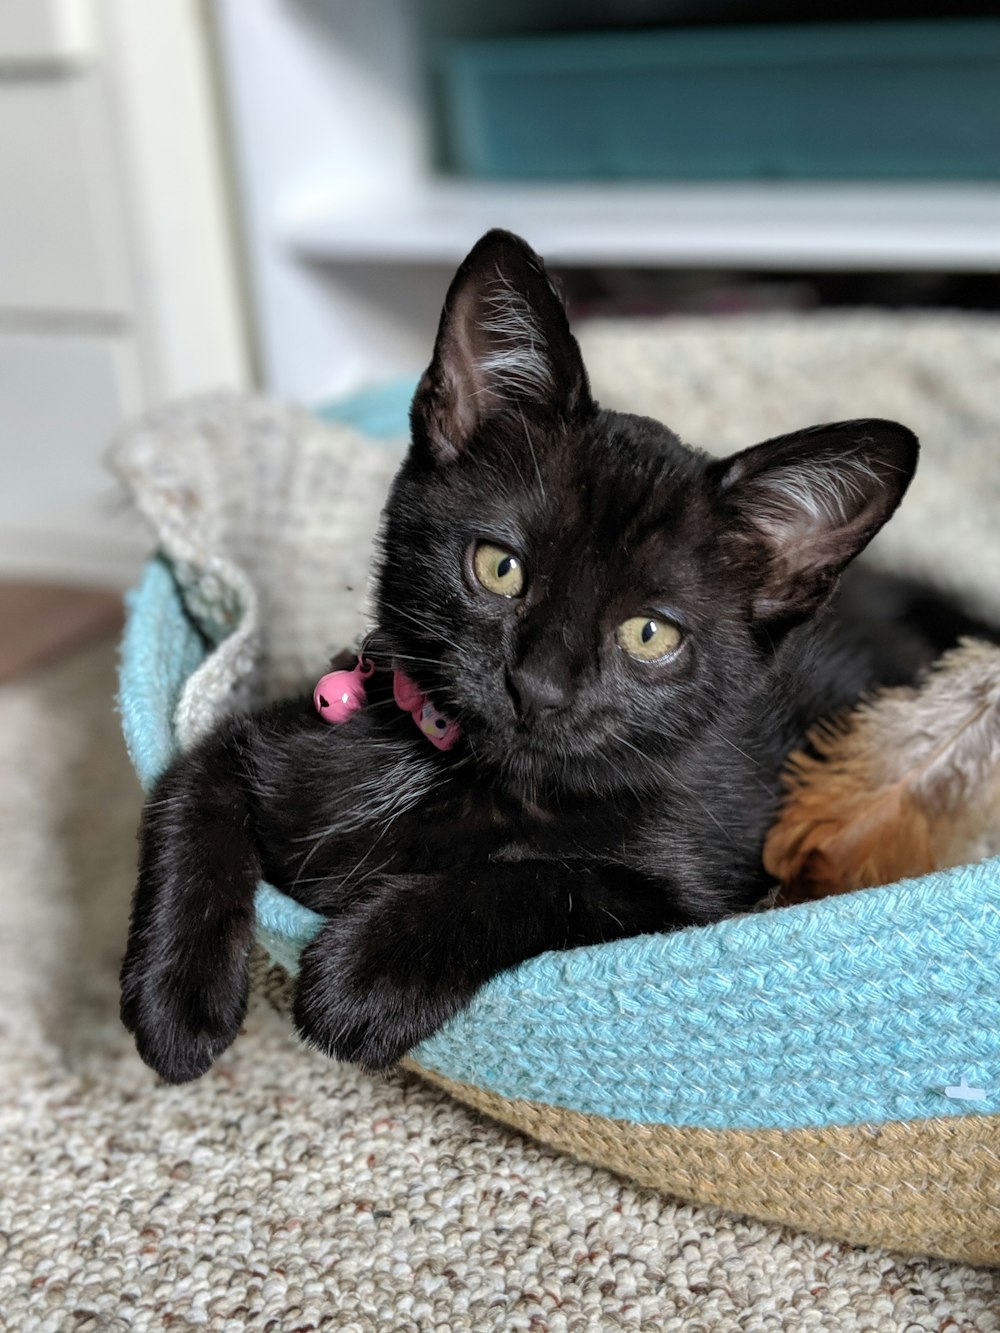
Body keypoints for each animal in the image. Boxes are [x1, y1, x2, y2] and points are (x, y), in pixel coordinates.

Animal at [123, 229, 933, 1082]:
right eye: (499, 566)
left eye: (650, 634)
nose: (536, 686)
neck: (467, 774)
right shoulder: (271, 739)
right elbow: (190, 786)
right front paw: (177, 1002)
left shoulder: (692, 899)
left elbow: (536, 880)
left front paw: (362, 974)